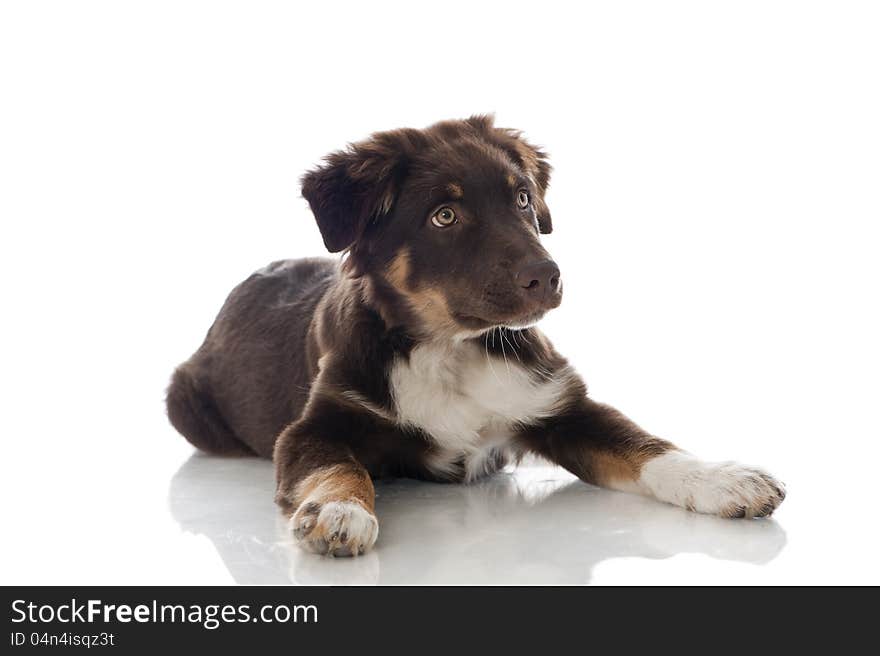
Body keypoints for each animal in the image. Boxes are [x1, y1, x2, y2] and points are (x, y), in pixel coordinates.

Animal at [168, 115, 788, 556]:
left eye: (522, 199)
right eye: (445, 215)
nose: (549, 277)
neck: (452, 347)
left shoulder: (561, 405)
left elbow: (646, 446)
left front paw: (723, 480)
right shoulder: (314, 427)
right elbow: (336, 467)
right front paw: (340, 513)